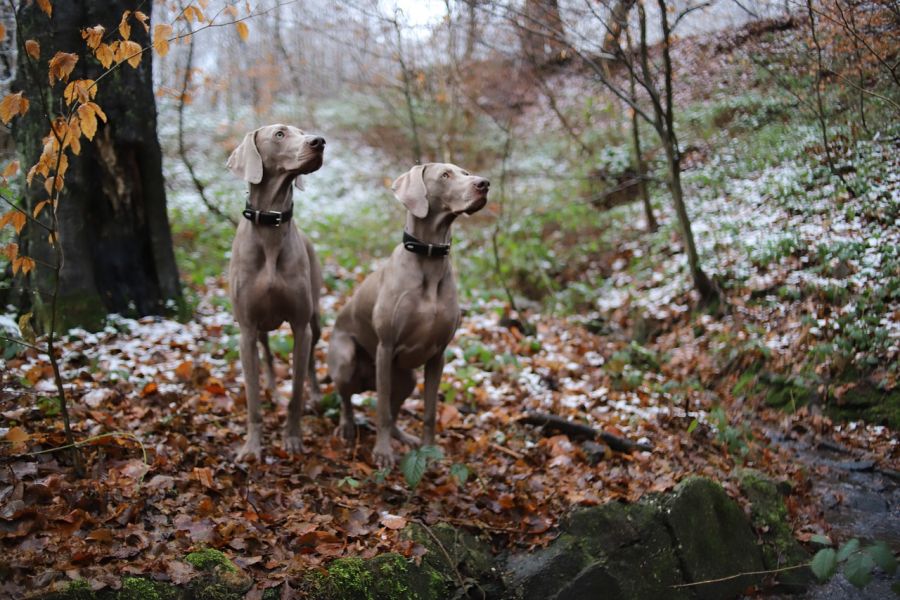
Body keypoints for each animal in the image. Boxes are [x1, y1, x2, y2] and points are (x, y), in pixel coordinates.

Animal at [227, 122, 326, 462]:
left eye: (303, 131)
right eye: (280, 134)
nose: (319, 141)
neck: (270, 226)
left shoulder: (299, 325)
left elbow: (296, 391)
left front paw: (293, 438)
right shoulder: (245, 329)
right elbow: (252, 397)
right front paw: (252, 446)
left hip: (315, 318)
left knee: (310, 360)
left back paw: (316, 393)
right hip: (258, 328)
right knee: (267, 354)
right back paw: (271, 387)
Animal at [326, 162, 488, 466]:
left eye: (466, 172)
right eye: (445, 175)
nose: (484, 184)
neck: (429, 258)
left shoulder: (438, 354)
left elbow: (429, 412)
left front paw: (429, 452)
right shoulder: (385, 347)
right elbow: (381, 411)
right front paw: (383, 453)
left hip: (407, 378)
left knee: (393, 410)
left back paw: (404, 438)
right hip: (346, 359)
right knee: (348, 400)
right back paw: (347, 427)